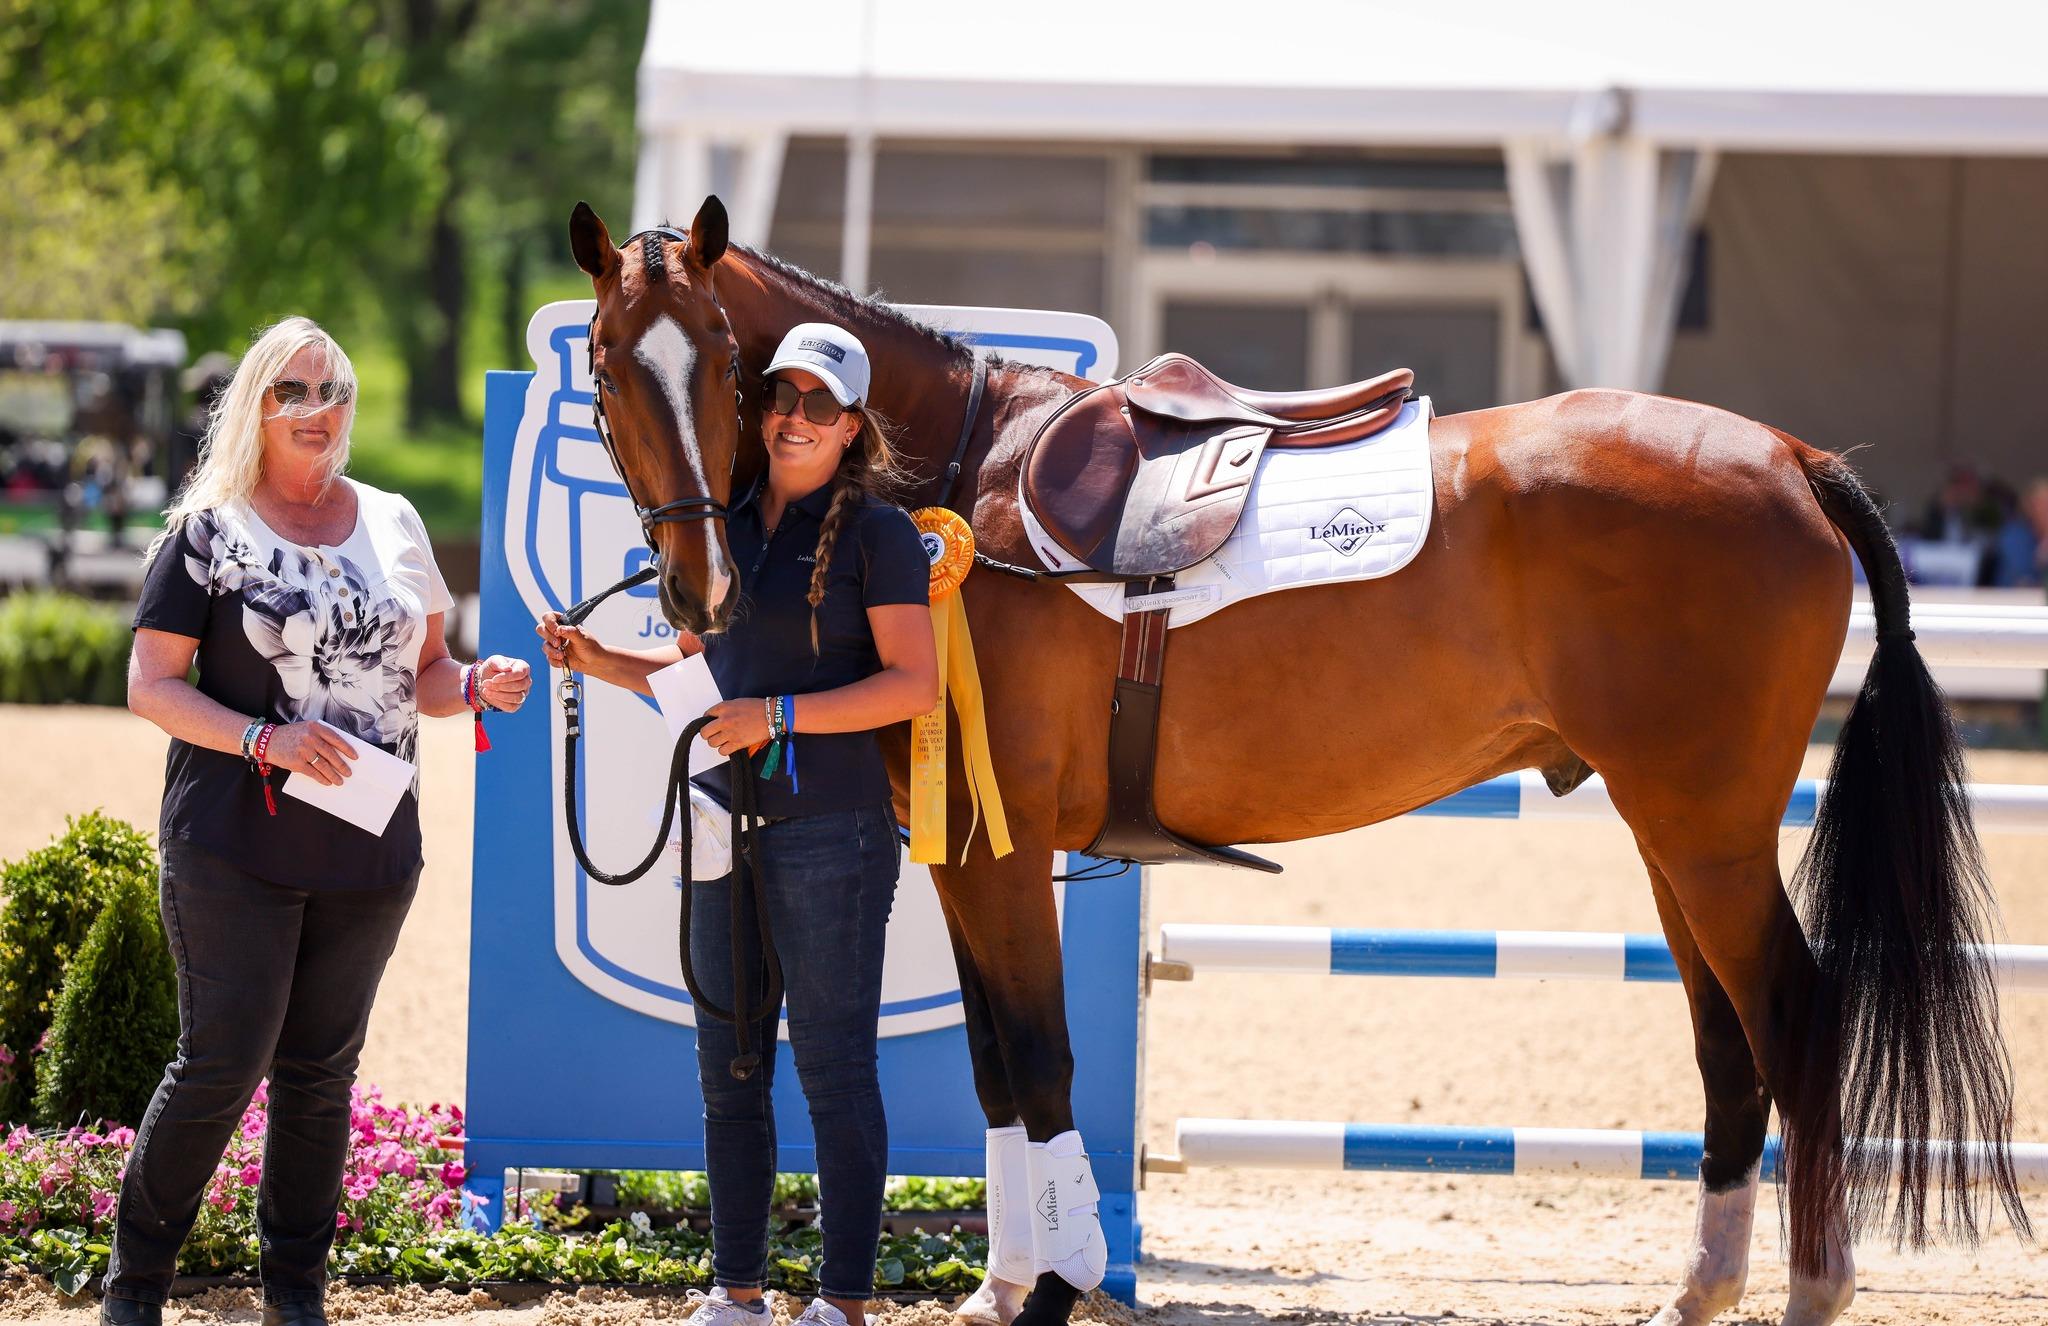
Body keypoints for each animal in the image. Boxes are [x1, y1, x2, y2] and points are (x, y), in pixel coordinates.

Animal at [569, 196, 2023, 1326]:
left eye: (720, 357)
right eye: (600, 363)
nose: (696, 589)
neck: (959, 483)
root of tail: (1789, 456)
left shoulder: (1007, 850)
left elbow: (1040, 1059)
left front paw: (1060, 1285)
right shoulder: (967, 855)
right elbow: (992, 1062)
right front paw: (1007, 1280)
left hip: (1706, 826)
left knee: (1792, 1015)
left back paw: (1810, 1288)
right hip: (1670, 829)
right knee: (1726, 1038)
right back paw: (1701, 1289)